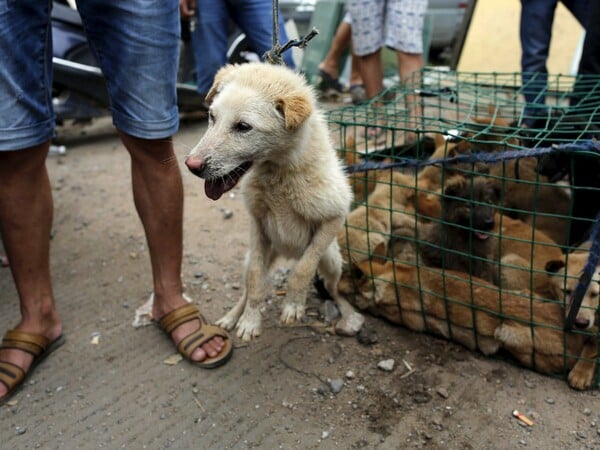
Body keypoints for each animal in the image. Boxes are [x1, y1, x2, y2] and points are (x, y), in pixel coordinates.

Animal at [185, 60, 366, 342]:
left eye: (243, 126)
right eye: (212, 117)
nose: (191, 166)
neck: (280, 173)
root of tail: (288, 252)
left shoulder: (335, 215)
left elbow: (302, 270)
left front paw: (292, 305)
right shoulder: (258, 224)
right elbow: (255, 280)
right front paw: (249, 320)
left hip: (332, 261)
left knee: (332, 287)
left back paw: (346, 312)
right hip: (254, 256)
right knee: (248, 285)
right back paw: (232, 316)